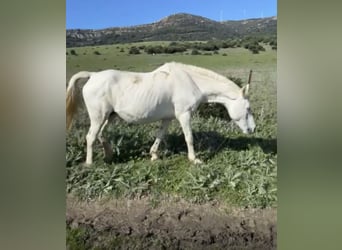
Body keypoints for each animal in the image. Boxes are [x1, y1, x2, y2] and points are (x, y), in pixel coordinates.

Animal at [66, 61, 254, 165]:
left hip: (110, 116)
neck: (191, 81)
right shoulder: (184, 115)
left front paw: (154, 155)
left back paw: (109, 156)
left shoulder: (168, 118)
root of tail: (92, 76)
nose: (252, 129)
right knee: (91, 137)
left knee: (101, 135)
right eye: (248, 108)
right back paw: (90, 163)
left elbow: (160, 135)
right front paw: (194, 159)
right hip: (98, 117)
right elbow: (189, 138)